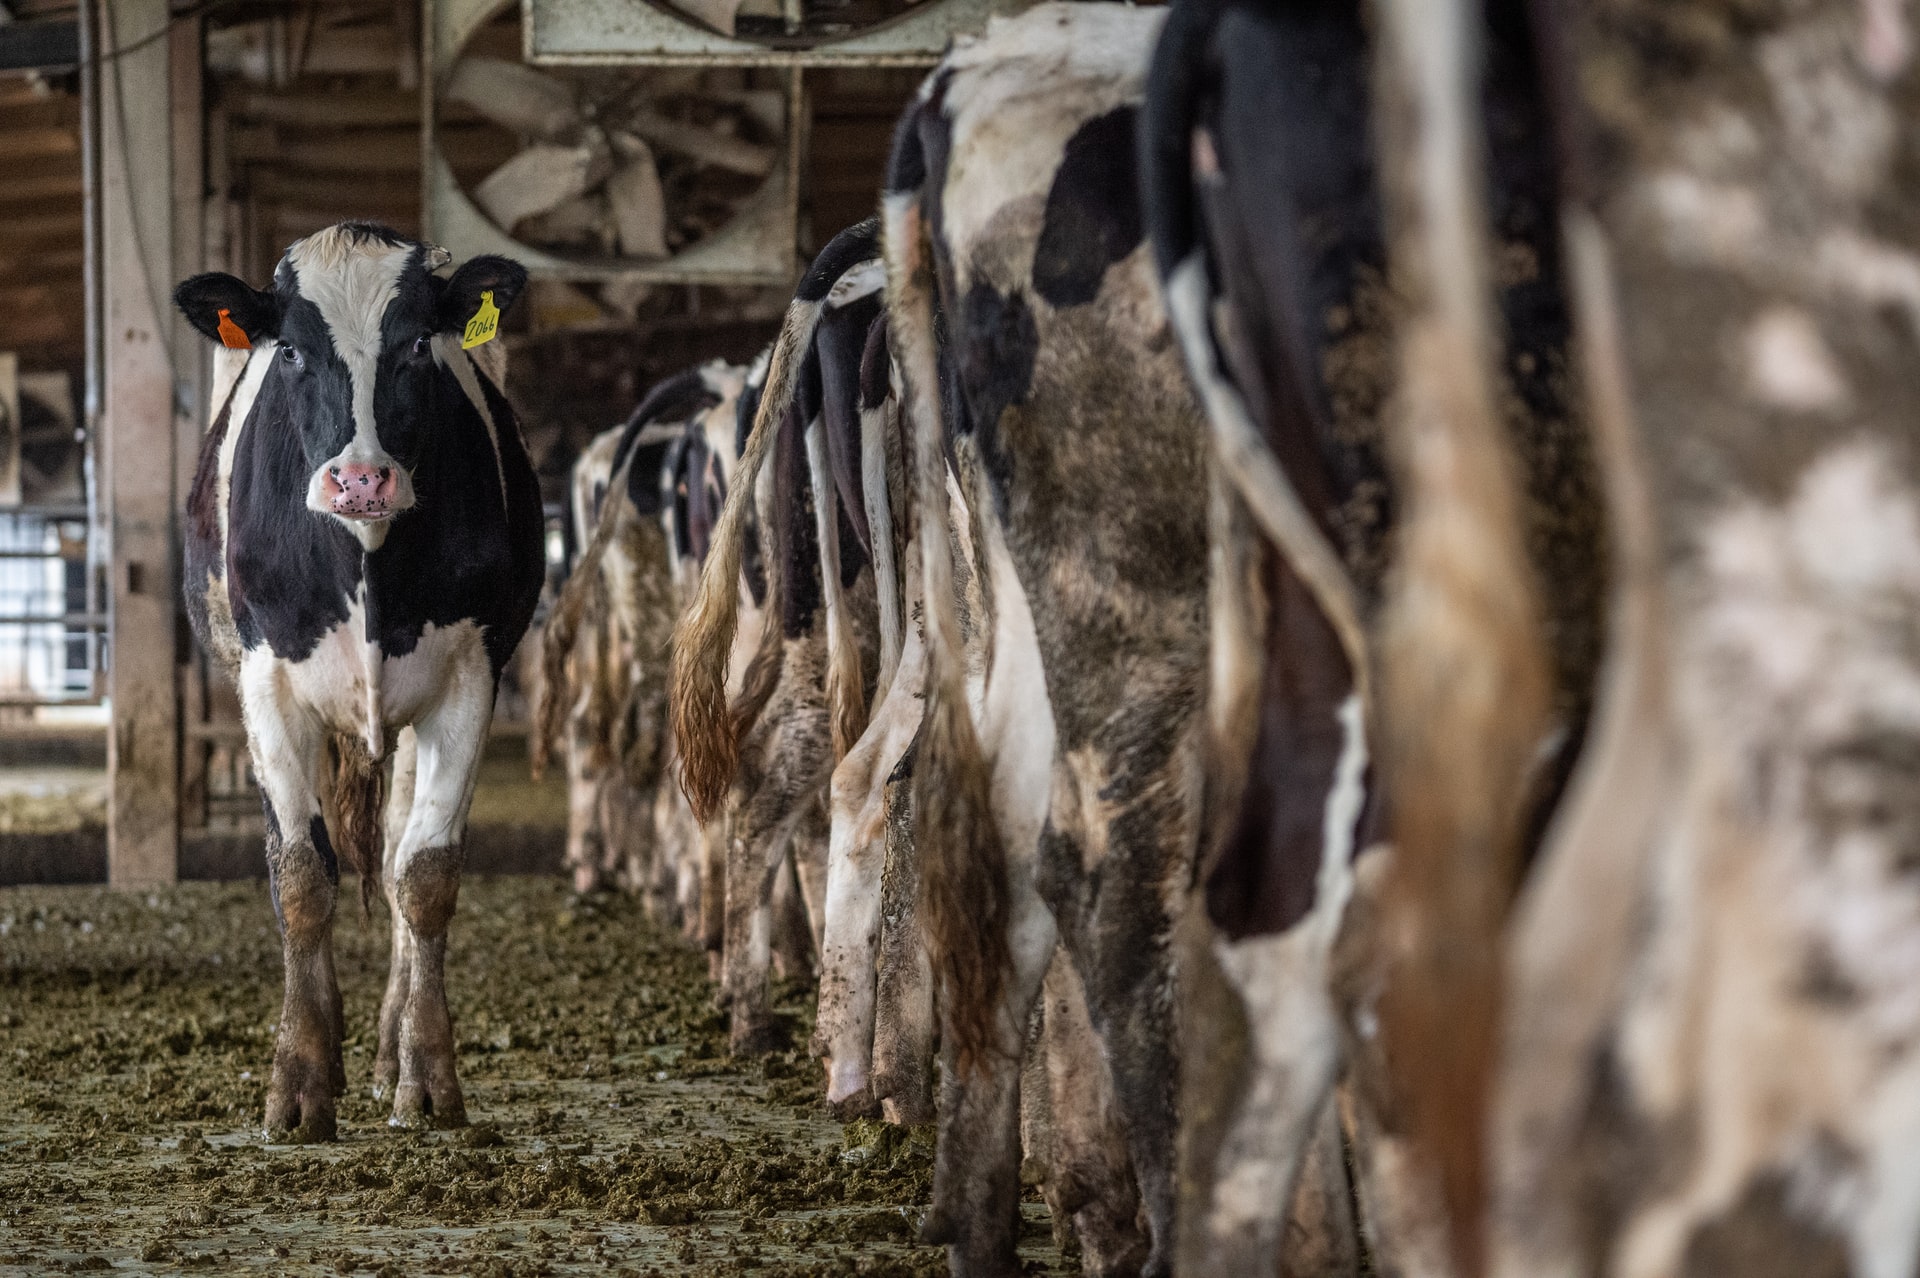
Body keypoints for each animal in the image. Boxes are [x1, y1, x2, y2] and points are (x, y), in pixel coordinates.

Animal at [177, 223, 545, 1136]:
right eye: (292, 353)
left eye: (417, 344)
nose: (360, 479)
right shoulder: (268, 684)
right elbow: (303, 877)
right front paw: (298, 1081)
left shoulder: (469, 679)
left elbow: (425, 874)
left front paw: (428, 1076)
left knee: (394, 851)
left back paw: (382, 1053)